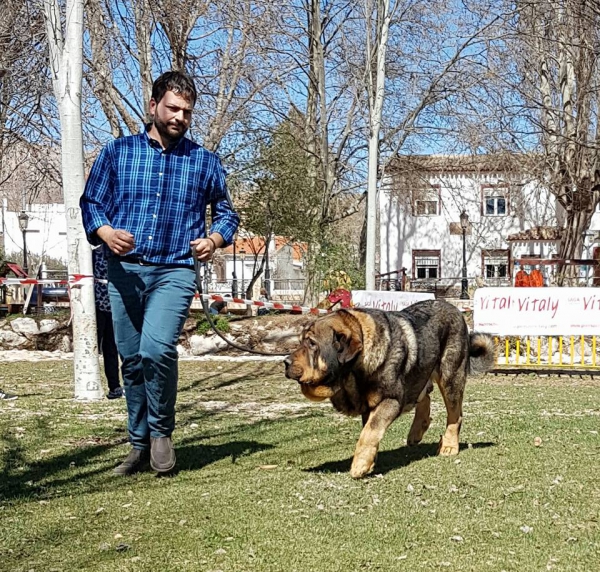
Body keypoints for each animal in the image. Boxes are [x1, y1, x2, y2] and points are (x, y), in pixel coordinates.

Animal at [284, 300, 494, 478]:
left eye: (312, 343)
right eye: (301, 341)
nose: (285, 362)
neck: (355, 370)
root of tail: (455, 309)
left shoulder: (391, 399)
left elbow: (370, 431)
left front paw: (360, 465)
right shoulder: (369, 406)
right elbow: (369, 430)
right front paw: (370, 461)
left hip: (450, 377)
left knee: (454, 414)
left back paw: (449, 446)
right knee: (423, 395)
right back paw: (417, 430)